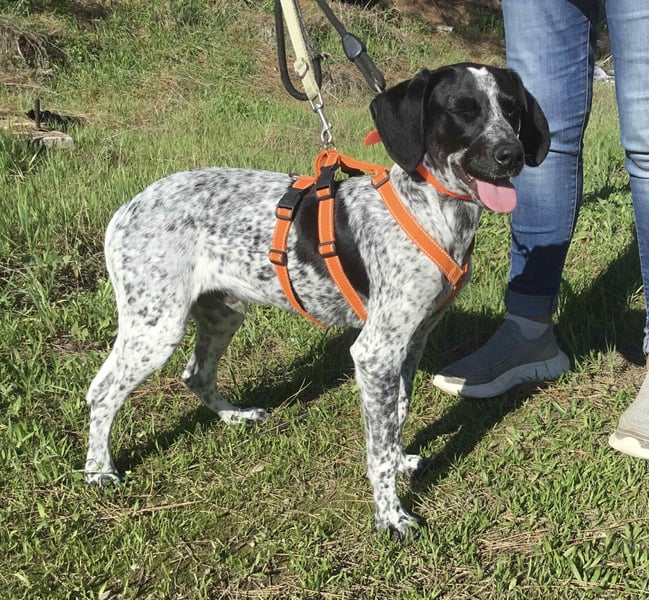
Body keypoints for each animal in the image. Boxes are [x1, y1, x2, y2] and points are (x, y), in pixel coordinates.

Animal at [84, 63, 549, 540]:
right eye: (462, 110)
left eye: (512, 110)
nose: (512, 155)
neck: (433, 213)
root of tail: (127, 208)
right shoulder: (375, 352)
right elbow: (378, 449)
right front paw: (390, 516)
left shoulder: (412, 342)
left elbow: (396, 417)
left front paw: (401, 460)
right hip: (156, 328)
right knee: (101, 391)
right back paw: (99, 471)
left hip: (223, 313)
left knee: (195, 374)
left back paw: (234, 417)